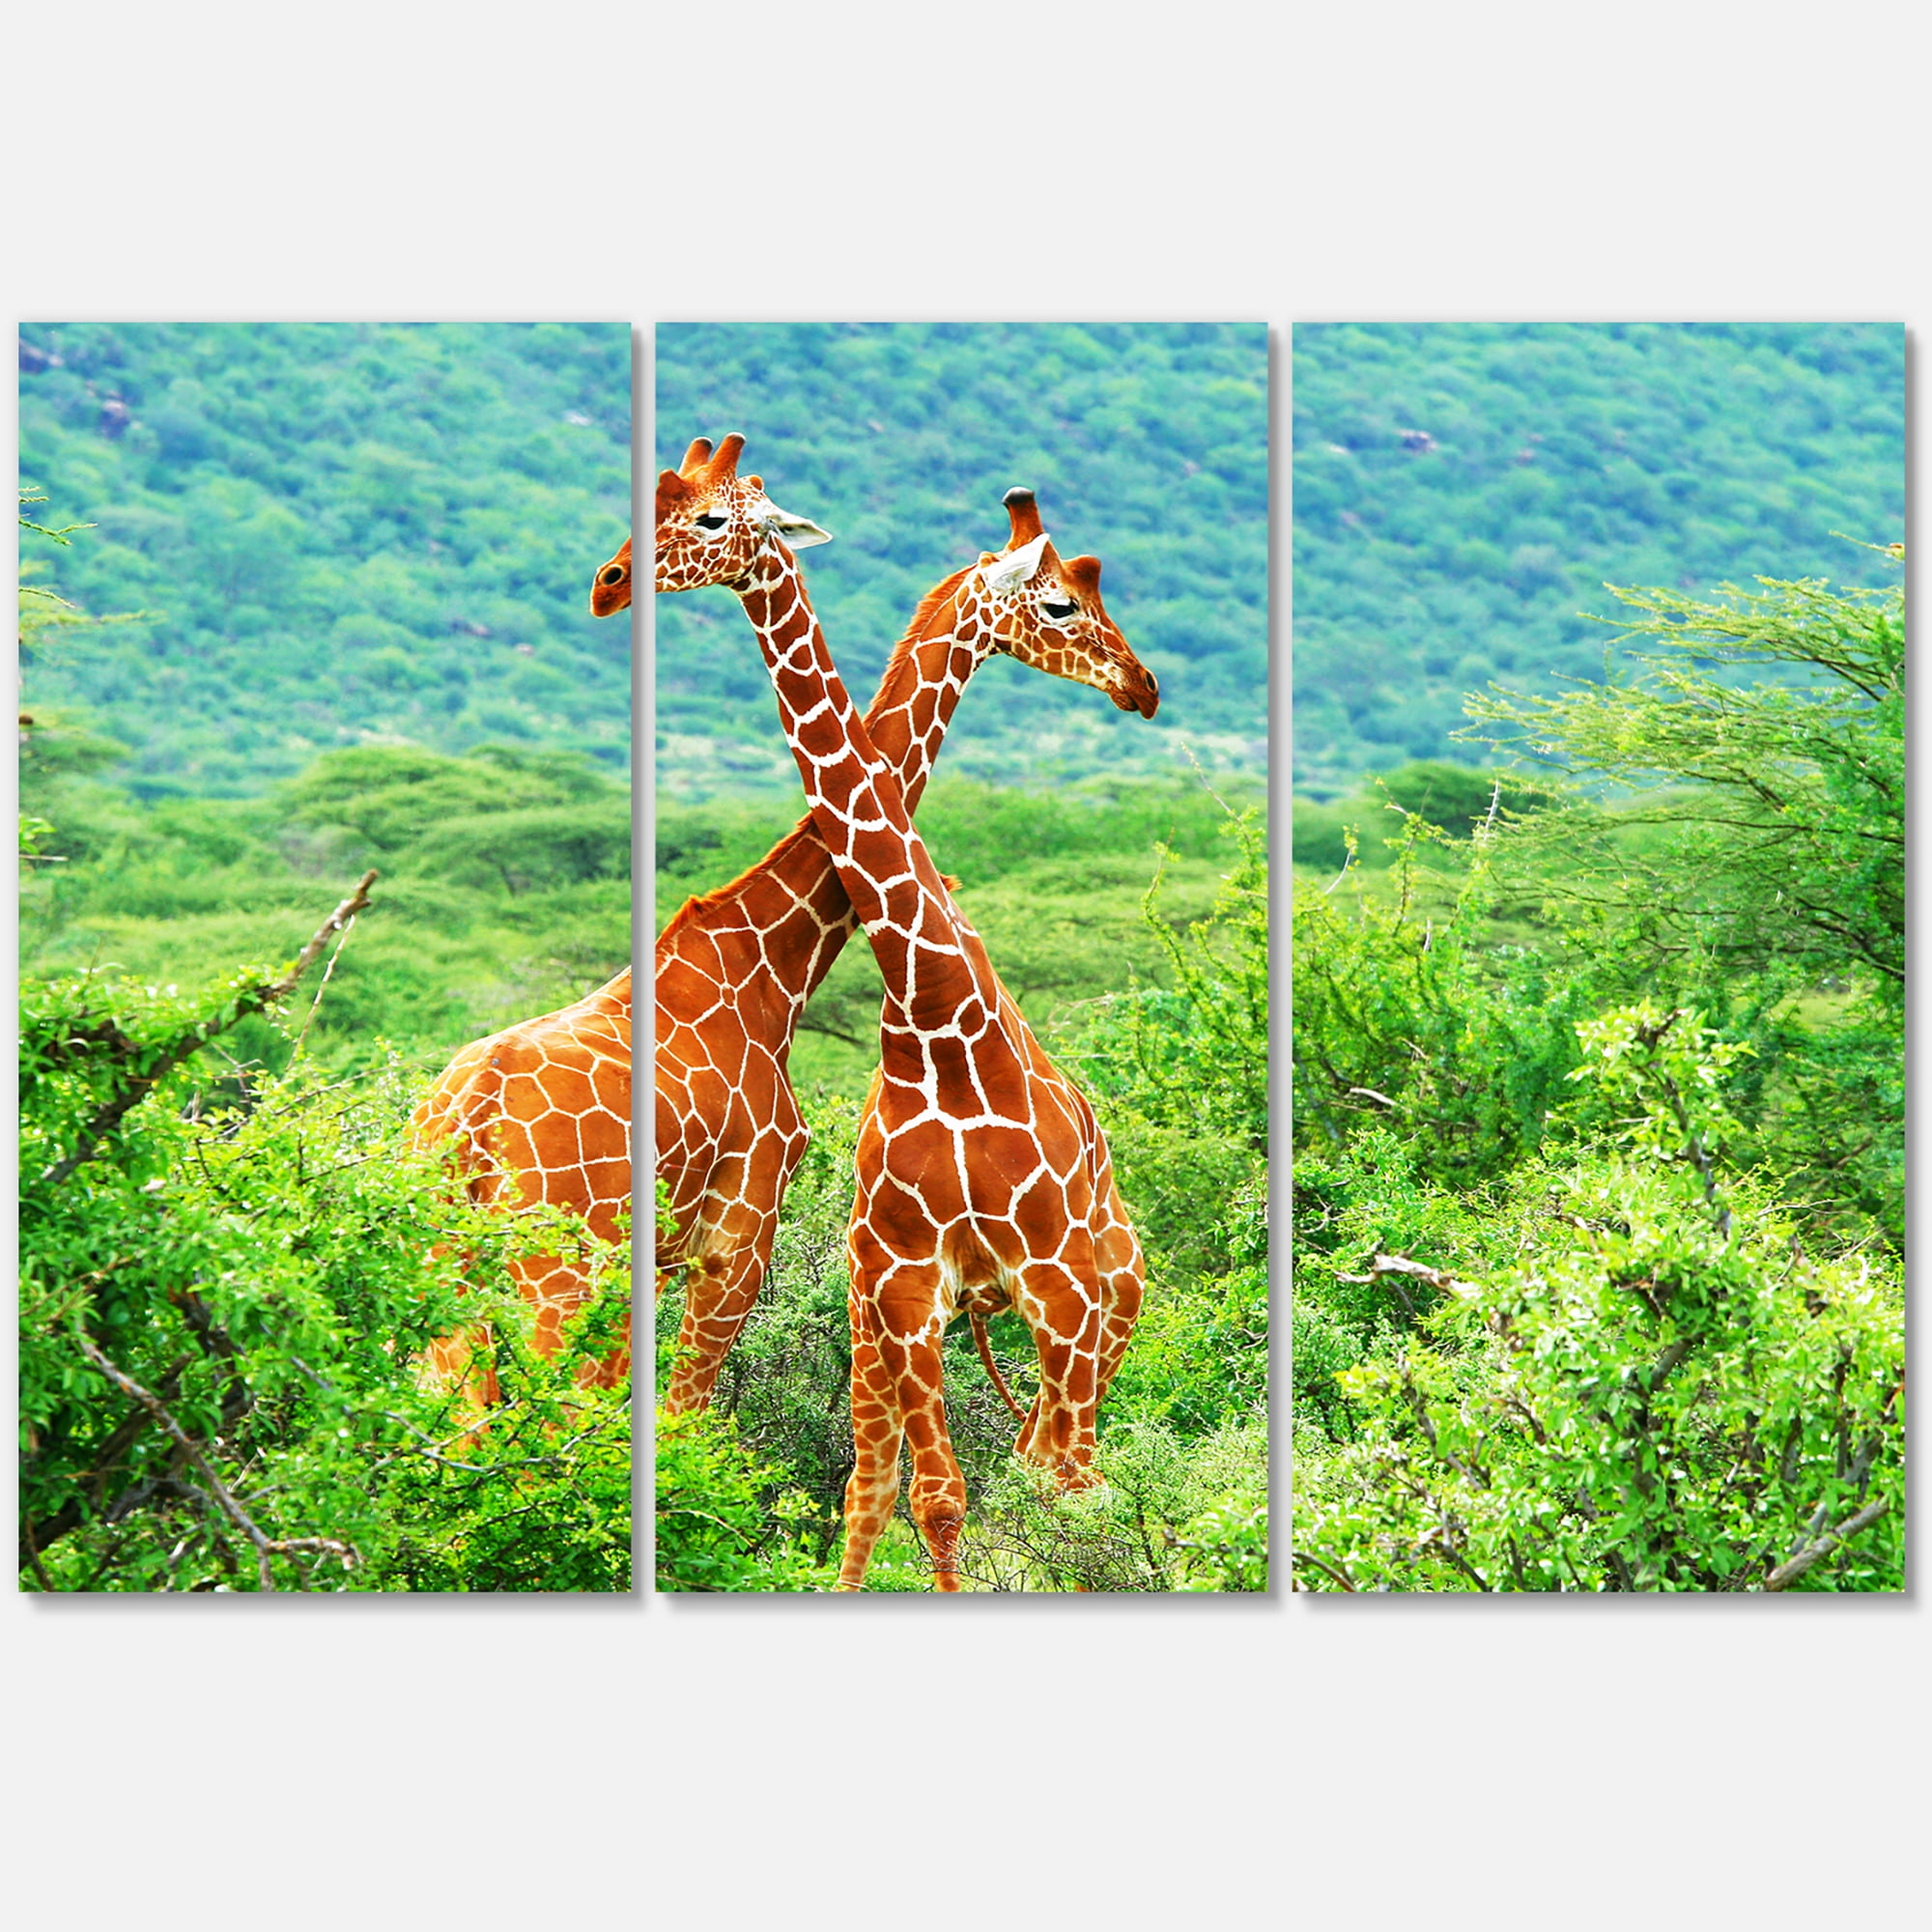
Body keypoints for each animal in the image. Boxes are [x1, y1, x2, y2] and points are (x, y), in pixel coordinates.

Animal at [656, 435, 1153, 1592]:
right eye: (1061, 602)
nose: (1142, 685)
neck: (937, 1026)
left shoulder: (1057, 1285)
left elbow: (1053, 1490)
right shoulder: (904, 1284)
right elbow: (932, 1496)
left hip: (1107, 1297)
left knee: (1066, 1466)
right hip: (897, 1314)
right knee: (890, 1483)